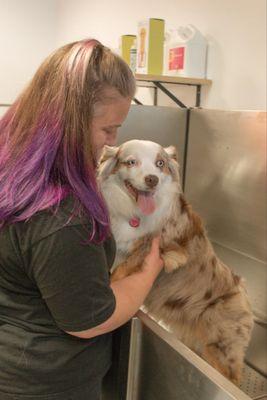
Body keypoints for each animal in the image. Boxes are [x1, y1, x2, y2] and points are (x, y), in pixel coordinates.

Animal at [97, 140, 254, 384]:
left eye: (160, 163)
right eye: (131, 161)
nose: (152, 179)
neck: (134, 213)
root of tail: (245, 296)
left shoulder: (161, 249)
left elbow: (122, 269)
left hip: (220, 346)